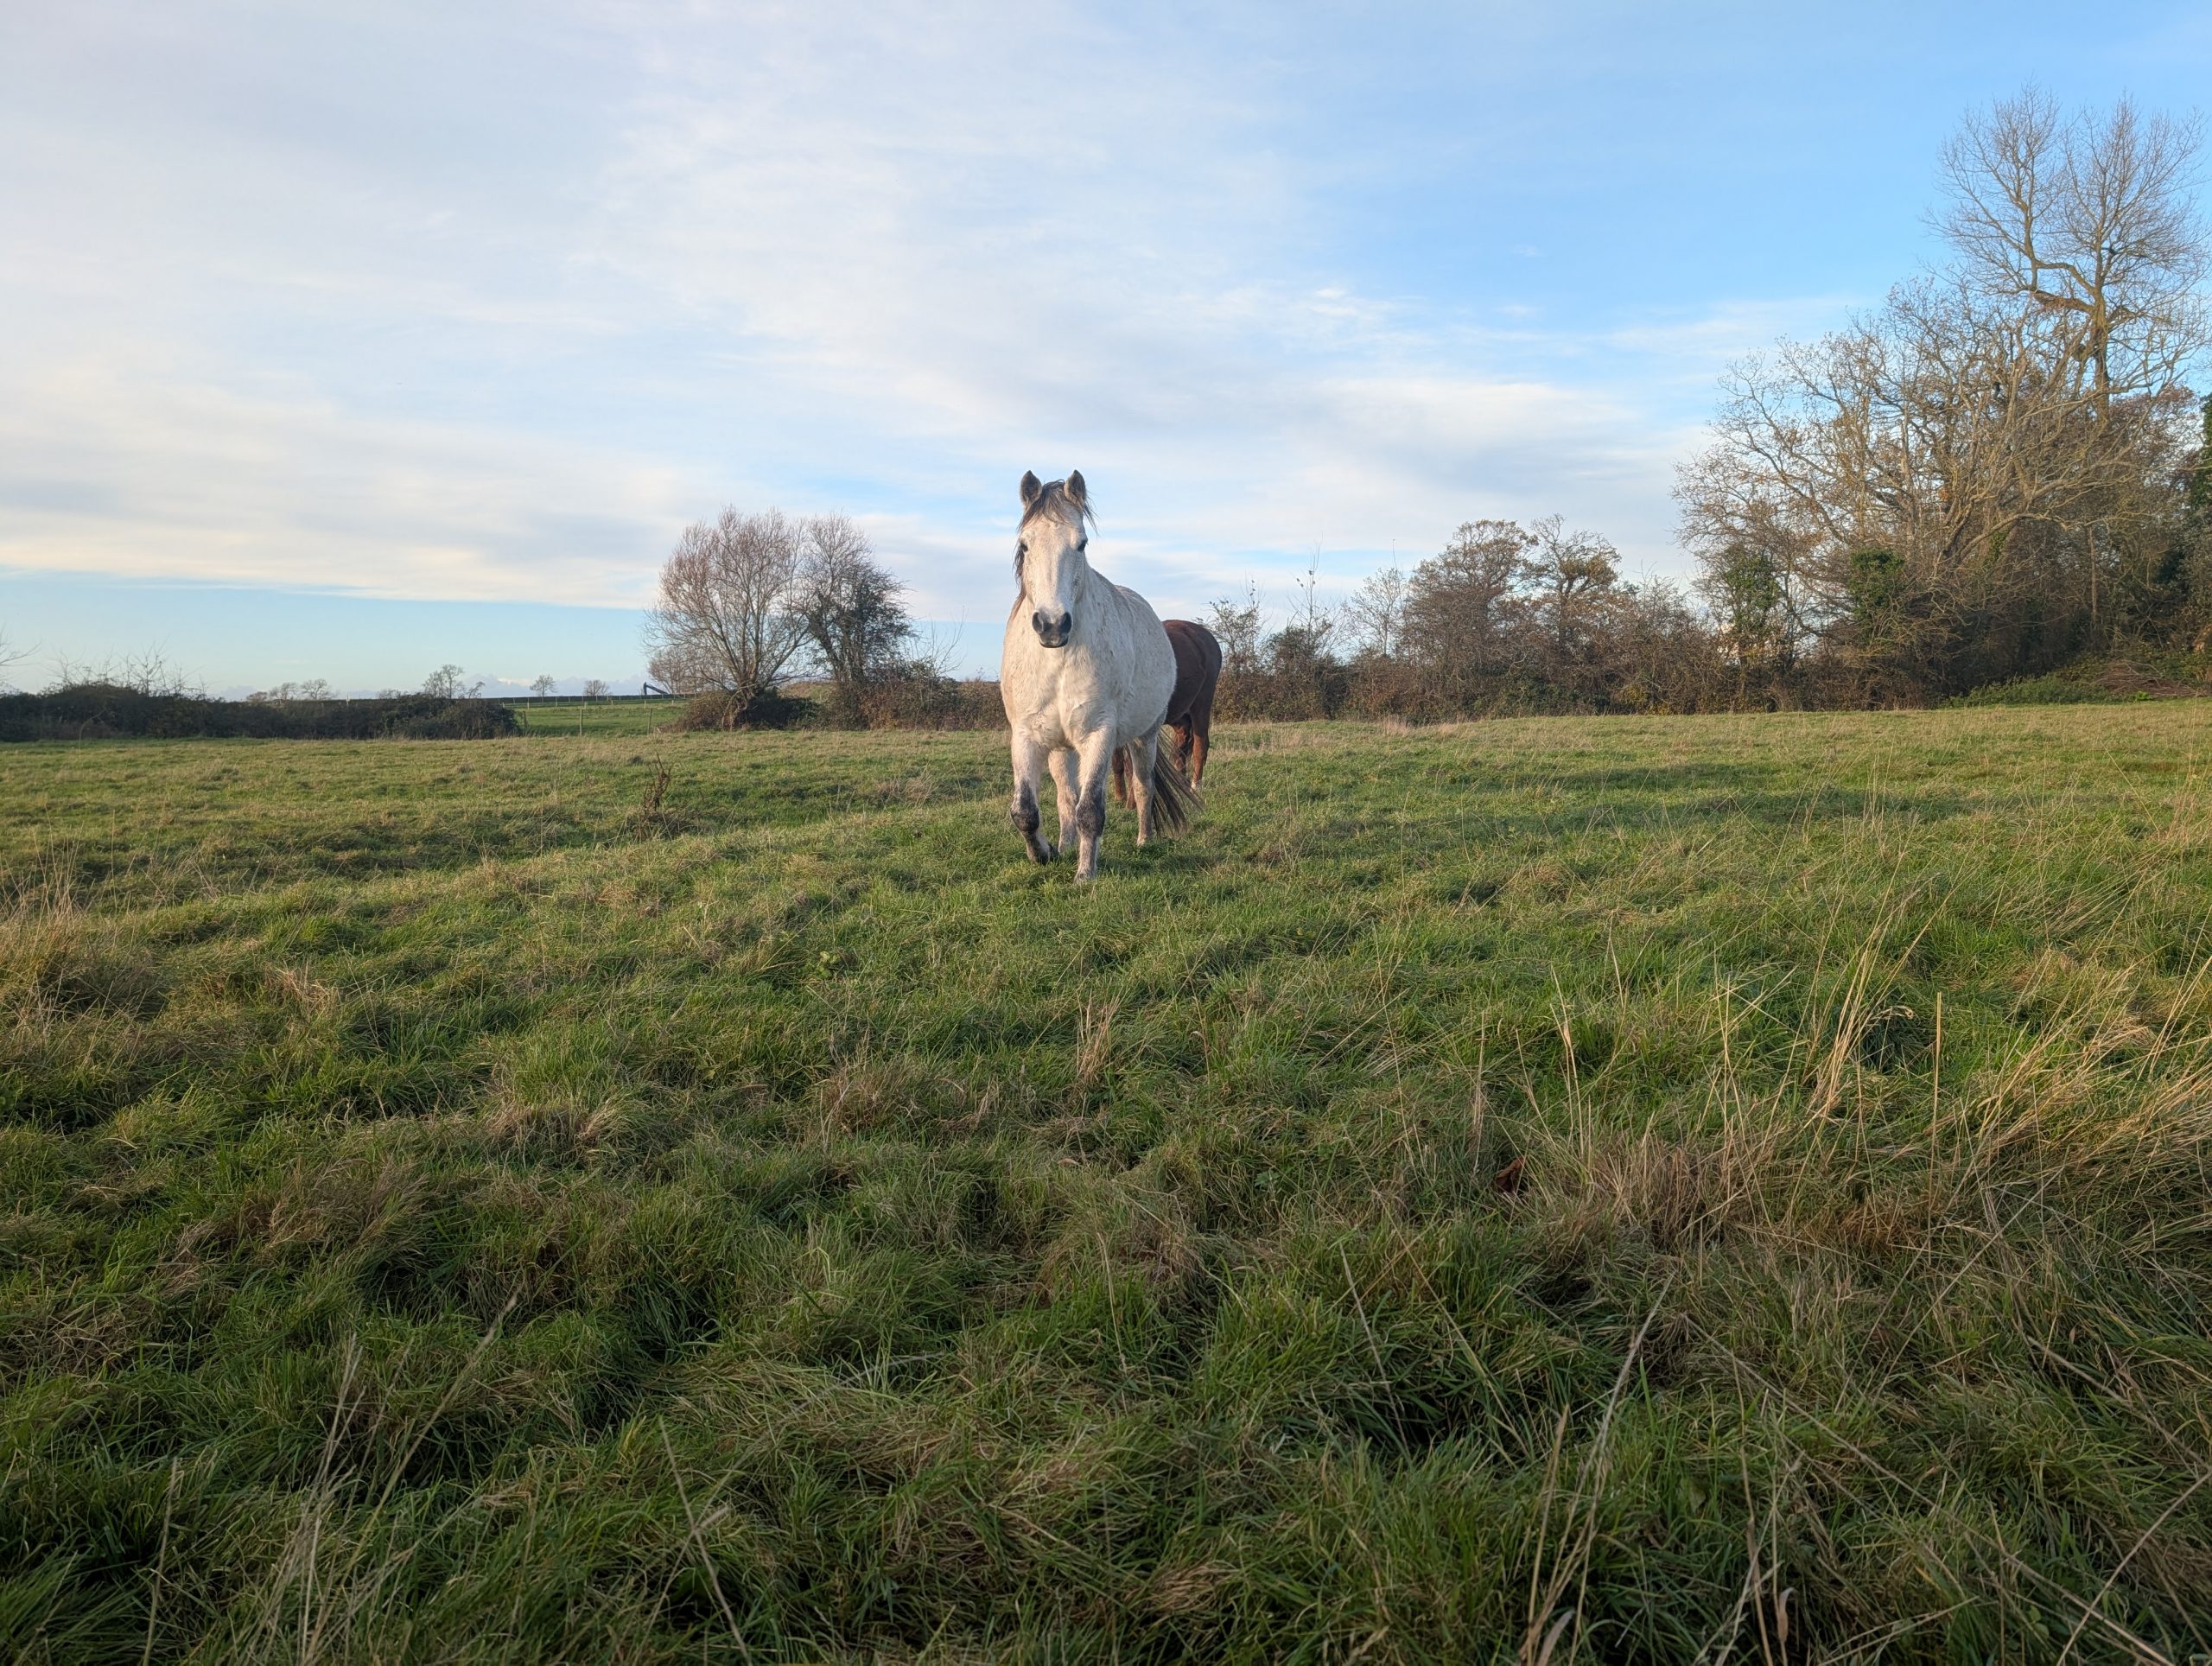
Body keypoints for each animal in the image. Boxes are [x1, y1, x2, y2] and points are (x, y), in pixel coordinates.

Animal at [1000, 470, 1197, 881]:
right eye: (1025, 545)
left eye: (1082, 544)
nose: (1052, 625)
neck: (1055, 661)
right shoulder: (1026, 735)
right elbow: (1026, 810)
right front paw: (1044, 854)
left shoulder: (1099, 735)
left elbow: (1091, 809)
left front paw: (1085, 875)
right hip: (1061, 748)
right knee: (1065, 797)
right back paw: (1064, 845)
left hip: (1144, 736)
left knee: (1143, 786)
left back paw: (1144, 840)